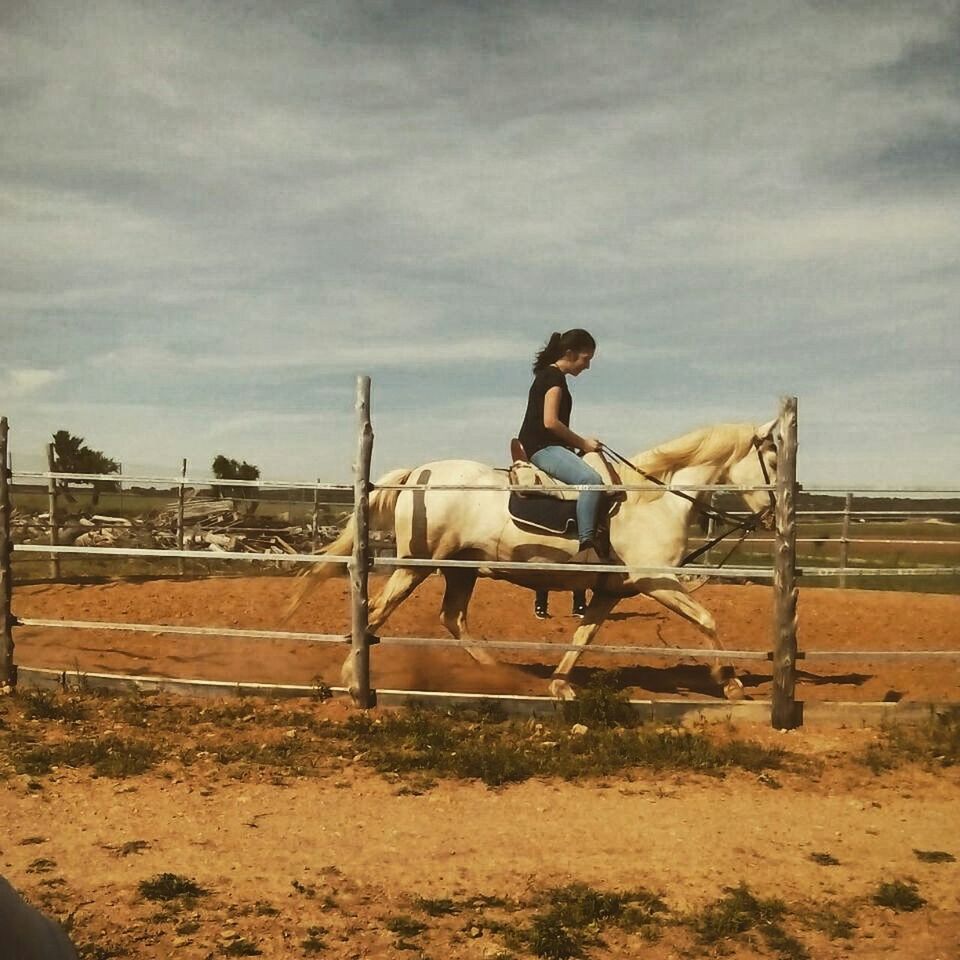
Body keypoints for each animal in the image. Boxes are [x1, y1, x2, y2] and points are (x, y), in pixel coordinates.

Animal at [286, 420, 780, 696]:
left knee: (453, 618)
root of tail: (419, 474)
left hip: (461, 569)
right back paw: (354, 677)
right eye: (774, 461)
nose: (776, 514)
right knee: (376, 609)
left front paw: (560, 683)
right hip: (415, 566)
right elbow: (707, 619)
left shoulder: (612, 591)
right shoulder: (657, 580)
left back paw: (501, 673)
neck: (651, 500)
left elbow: (583, 635)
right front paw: (729, 679)